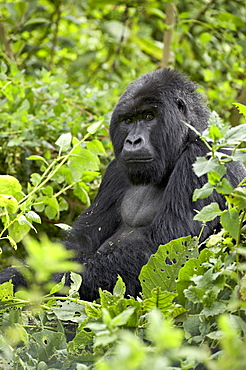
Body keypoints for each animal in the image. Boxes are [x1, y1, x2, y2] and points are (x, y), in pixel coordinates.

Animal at [0, 68, 245, 300]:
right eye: (128, 120)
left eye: (149, 116)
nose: (133, 141)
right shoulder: (115, 171)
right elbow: (81, 242)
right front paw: (16, 277)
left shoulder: (204, 158)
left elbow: (166, 250)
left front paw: (43, 282)